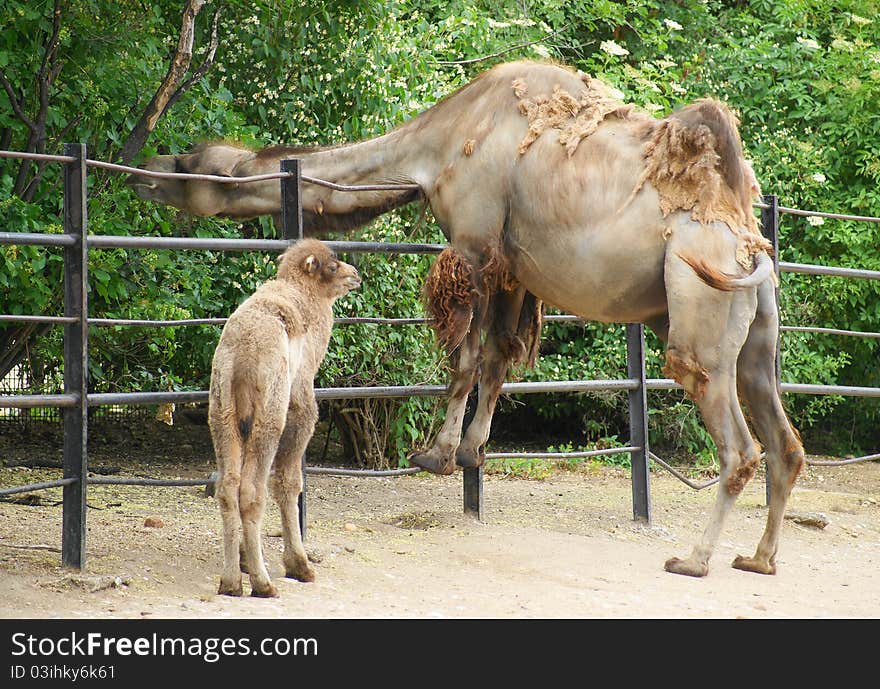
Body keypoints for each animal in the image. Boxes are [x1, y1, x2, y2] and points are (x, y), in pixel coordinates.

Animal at [210, 239, 360, 592]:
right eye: (332, 265)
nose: (355, 274)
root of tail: (242, 356)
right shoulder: (301, 399)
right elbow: (289, 482)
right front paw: (299, 565)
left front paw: (244, 559)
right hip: (270, 414)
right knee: (252, 491)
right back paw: (263, 584)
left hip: (222, 413)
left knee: (228, 487)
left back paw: (231, 581)